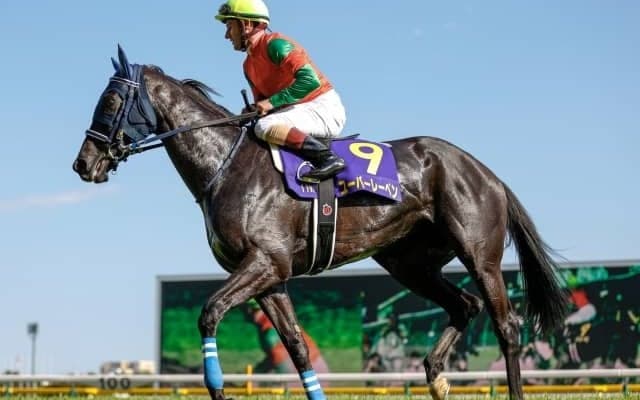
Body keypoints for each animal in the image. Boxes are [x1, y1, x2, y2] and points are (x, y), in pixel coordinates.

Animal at [72, 46, 568, 400]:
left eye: (111, 100)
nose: (84, 163)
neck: (228, 164)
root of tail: (488, 173)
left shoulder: (265, 262)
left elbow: (209, 312)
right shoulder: (270, 276)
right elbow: (295, 345)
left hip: (479, 255)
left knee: (507, 327)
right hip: (408, 263)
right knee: (464, 306)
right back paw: (435, 376)